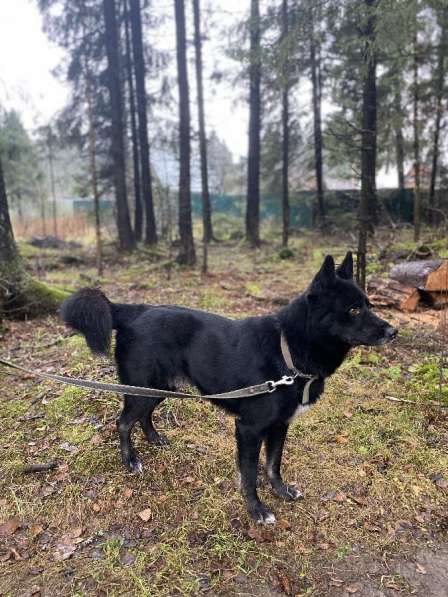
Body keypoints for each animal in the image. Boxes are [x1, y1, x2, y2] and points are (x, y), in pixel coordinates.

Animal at [58, 251, 396, 520]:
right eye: (353, 309)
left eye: (368, 304)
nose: (393, 332)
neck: (287, 350)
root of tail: (133, 310)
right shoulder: (249, 429)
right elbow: (249, 474)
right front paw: (256, 510)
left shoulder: (279, 426)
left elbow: (273, 464)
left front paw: (281, 491)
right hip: (143, 388)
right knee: (124, 421)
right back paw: (130, 460)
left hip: (161, 388)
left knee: (143, 416)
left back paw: (155, 439)